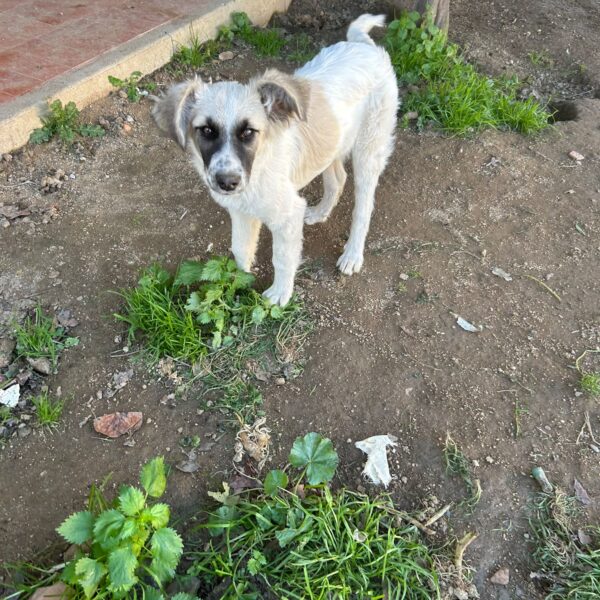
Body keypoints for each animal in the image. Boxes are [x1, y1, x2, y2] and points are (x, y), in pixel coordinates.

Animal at [152, 13, 398, 305]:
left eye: (248, 132)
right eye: (207, 131)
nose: (227, 182)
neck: (258, 166)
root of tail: (364, 46)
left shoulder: (287, 215)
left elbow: (281, 258)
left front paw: (280, 294)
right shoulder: (240, 211)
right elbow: (240, 249)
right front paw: (235, 287)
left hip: (369, 149)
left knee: (364, 206)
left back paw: (352, 254)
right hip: (333, 144)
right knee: (338, 179)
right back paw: (320, 212)